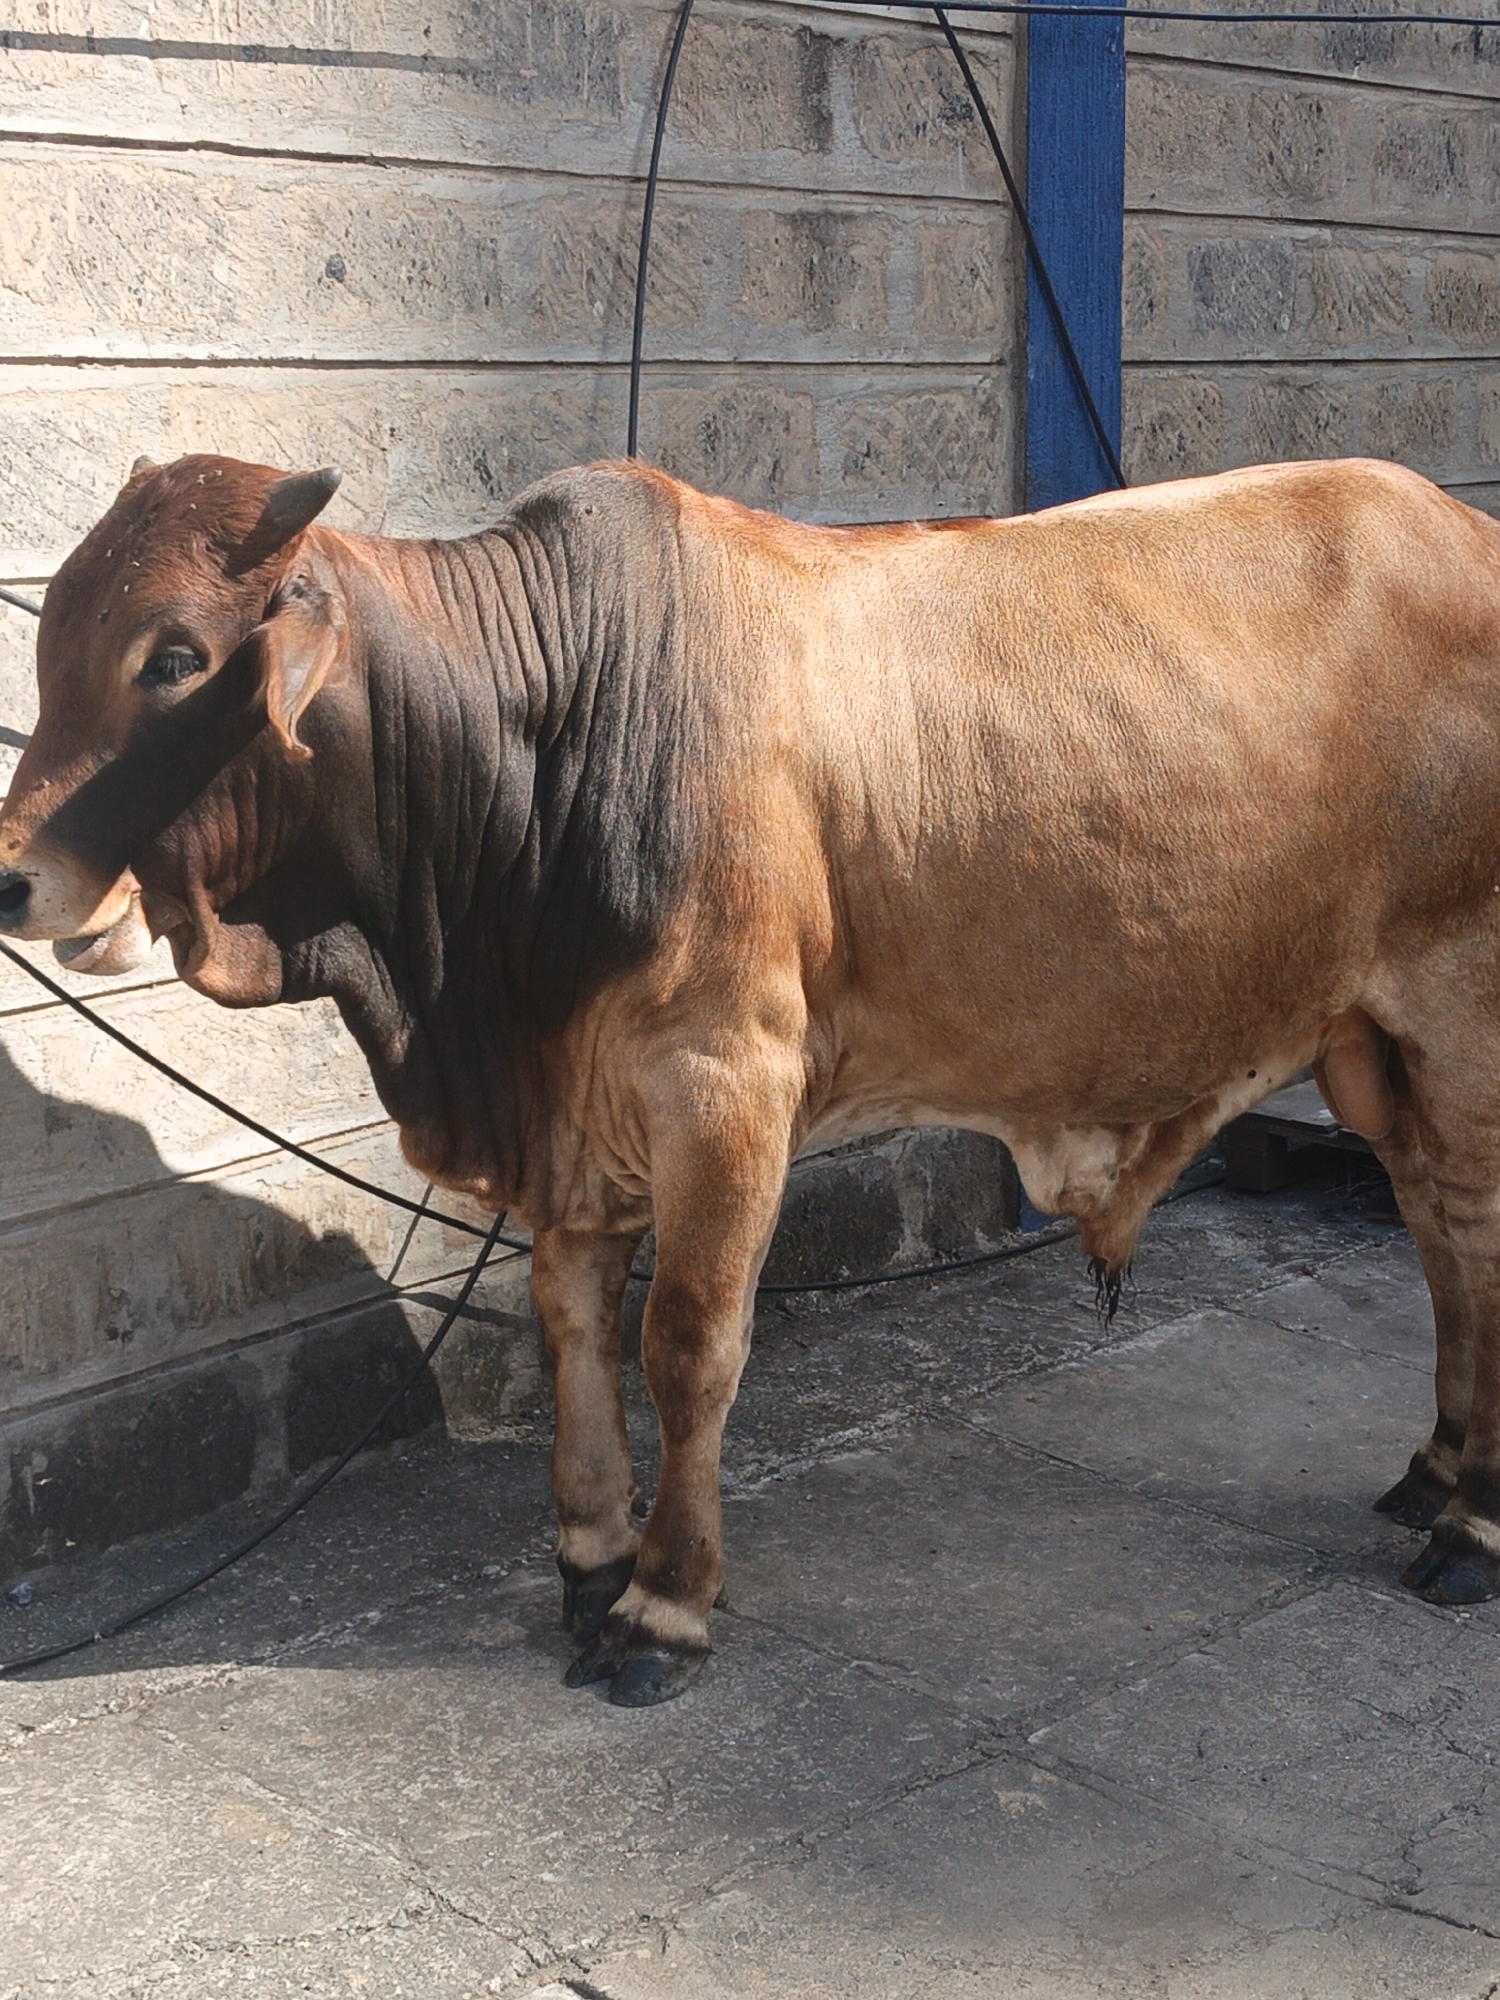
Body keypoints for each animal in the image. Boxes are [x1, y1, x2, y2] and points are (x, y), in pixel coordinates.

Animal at [1, 451, 1497, 1705]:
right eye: (54, 626)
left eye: (175, 656)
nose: (17, 875)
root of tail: (1458, 523)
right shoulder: (580, 1115)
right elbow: (572, 1323)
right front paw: (590, 1558)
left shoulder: (725, 1083)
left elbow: (688, 1344)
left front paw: (663, 1605)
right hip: (1374, 1046)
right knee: (1435, 1229)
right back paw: (1434, 1469)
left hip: (1461, 1009)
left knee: (1476, 1239)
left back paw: (1472, 1525)